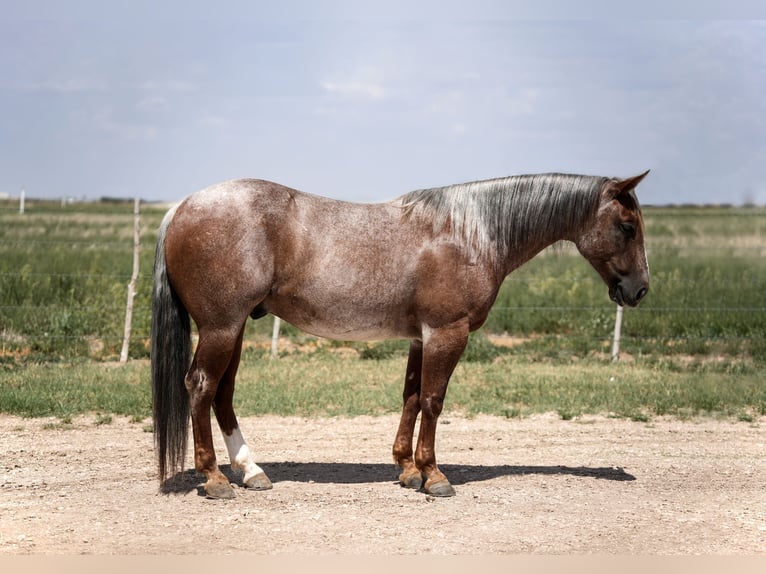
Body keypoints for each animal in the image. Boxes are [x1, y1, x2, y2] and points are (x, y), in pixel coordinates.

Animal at [151, 170, 650, 499]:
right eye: (627, 227)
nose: (640, 290)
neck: (469, 232)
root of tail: (182, 207)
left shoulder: (420, 337)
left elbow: (411, 397)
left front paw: (408, 470)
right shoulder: (448, 332)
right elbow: (434, 399)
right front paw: (434, 476)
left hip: (233, 329)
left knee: (222, 394)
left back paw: (251, 471)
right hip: (221, 327)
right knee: (201, 387)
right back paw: (215, 480)